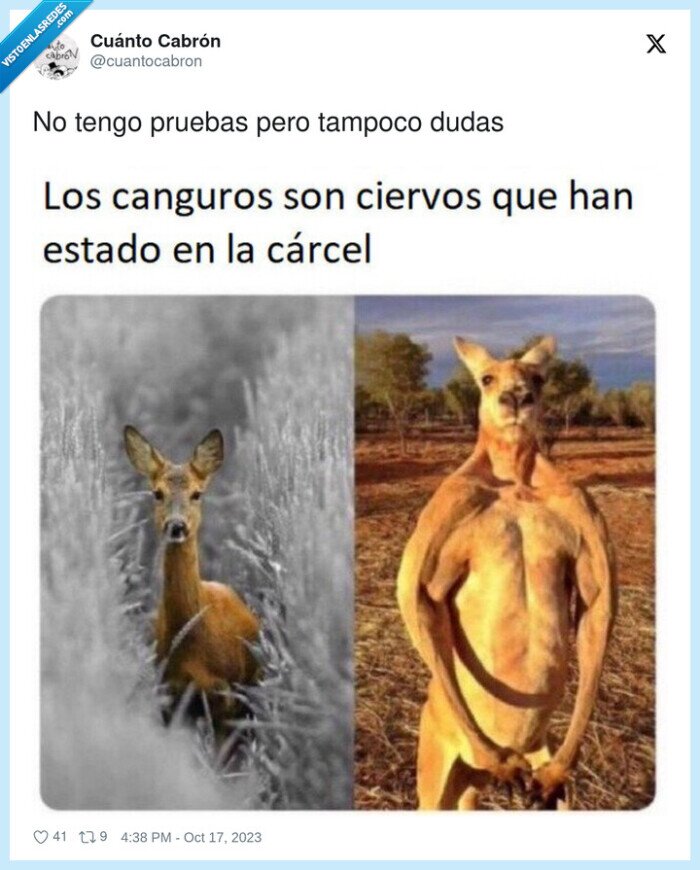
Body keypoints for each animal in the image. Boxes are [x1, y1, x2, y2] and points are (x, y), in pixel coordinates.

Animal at [397, 336, 616, 810]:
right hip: (436, 764)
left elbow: (597, 603)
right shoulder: (449, 504)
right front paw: (498, 759)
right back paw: (499, 762)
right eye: (486, 378)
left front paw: (558, 770)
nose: (516, 397)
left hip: (520, 769)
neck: (515, 477)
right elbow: (418, 596)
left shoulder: (582, 508)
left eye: (539, 377)